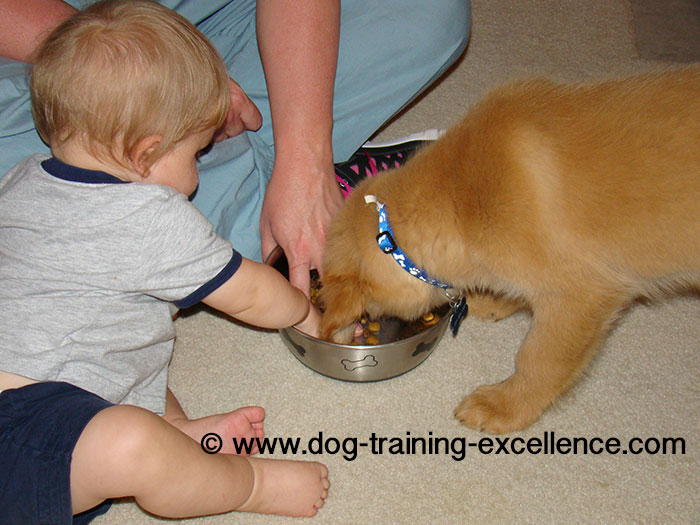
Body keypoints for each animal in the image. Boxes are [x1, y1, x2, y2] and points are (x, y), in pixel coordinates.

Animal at [320, 66, 700, 434]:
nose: (340, 330)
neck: (462, 203)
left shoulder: (580, 296)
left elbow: (539, 360)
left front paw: (503, 407)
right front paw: (492, 300)